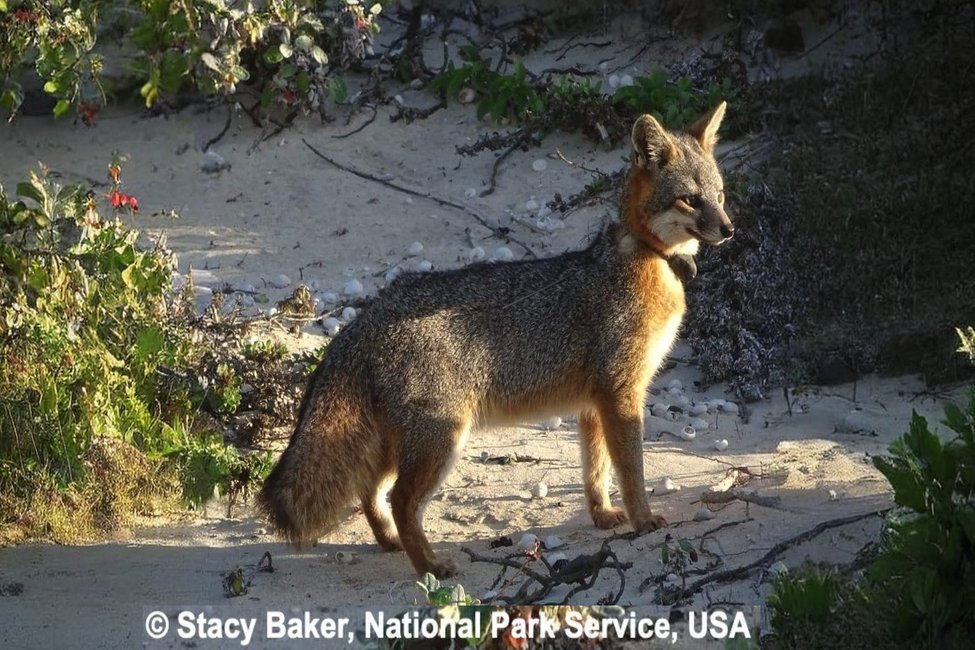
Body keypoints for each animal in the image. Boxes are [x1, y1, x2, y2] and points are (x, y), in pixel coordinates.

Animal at [260, 98, 732, 576]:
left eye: (720, 196)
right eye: (690, 200)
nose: (730, 229)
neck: (647, 259)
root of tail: (368, 314)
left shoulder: (593, 405)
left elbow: (595, 471)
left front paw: (602, 515)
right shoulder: (621, 394)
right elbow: (631, 471)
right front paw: (643, 519)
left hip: (403, 443)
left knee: (370, 490)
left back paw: (392, 543)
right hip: (441, 439)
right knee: (399, 500)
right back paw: (430, 566)